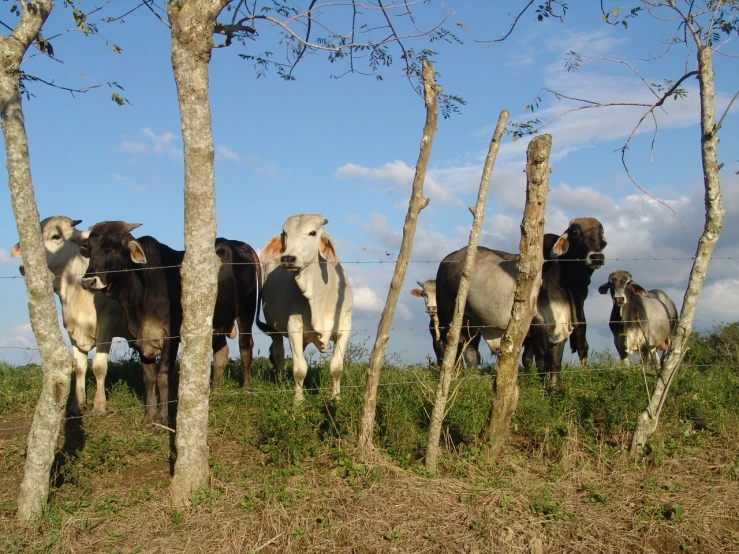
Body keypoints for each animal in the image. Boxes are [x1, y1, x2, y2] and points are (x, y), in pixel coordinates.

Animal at [10, 216, 132, 414]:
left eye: (56, 236)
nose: (23, 267)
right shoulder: (73, 330)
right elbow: (80, 367)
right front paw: (77, 404)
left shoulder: (107, 323)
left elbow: (99, 366)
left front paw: (99, 406)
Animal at [258, 213, 354, 404]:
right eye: (285, 233)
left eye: (312, 232)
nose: (287, 258)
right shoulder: (294, 327)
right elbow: (299, 368)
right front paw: (298, 400)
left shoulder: (345, 327)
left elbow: (336, 367)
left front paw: (336, 398)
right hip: (275, 329)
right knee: (279, 357)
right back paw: (281, 385)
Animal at [436, 216, 604, 384]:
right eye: (576, 232)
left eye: (601, 232)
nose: (597, 257)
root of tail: (447, 259)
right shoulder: (538, 326)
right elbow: (541, 361)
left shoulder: (560, 326)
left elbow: (556, 362)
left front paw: (555, 387)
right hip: (448, 316)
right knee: (451, 344)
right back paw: (451, 375)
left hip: (472, 322)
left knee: (470, 350)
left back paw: (472, 378)